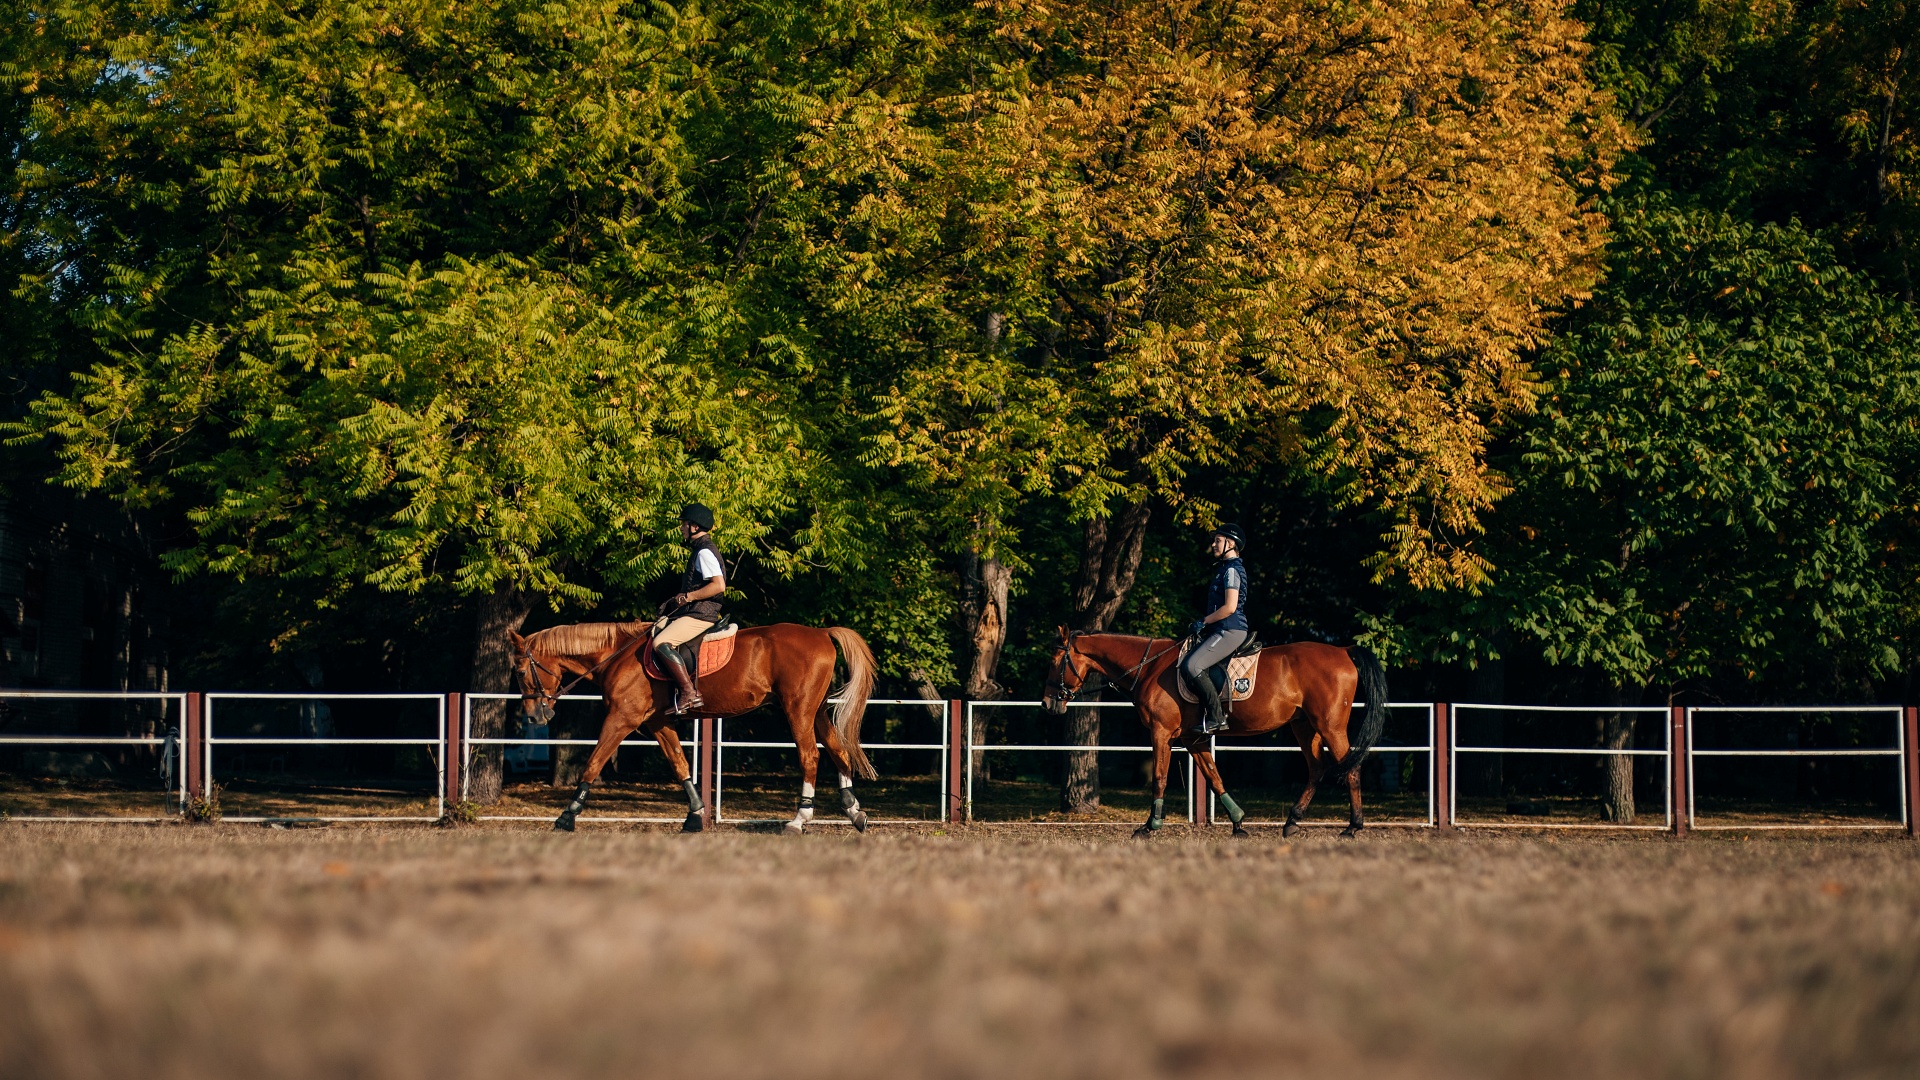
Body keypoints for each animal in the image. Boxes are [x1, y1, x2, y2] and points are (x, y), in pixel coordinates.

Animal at [503, 618, 879, 826]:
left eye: (519, 672)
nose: (534, 716)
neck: (616, 654)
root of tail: (821, 632)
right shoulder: (657, 723)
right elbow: (679, 763)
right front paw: (696, 814)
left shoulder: (621, 718)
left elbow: (592, 763)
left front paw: (567, 816)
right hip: (816, 711)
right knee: (838, 751)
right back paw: (854, 812)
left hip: (798, 710)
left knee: (810, 757)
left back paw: (800, 820)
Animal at [1044, 630, 1390, 834]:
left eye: (1056, 660)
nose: (1049, 703)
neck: (1150, 668)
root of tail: (1343, 650)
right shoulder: (1193, 738)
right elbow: (1213, 776)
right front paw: (1238, 822)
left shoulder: (1161, 733)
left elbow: (1159, 777)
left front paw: (1151, 825)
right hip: (1304, 726)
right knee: (1317, 770)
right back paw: (1292, 822)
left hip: (1330, 726)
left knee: (1351, 770)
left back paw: (1353, 827)